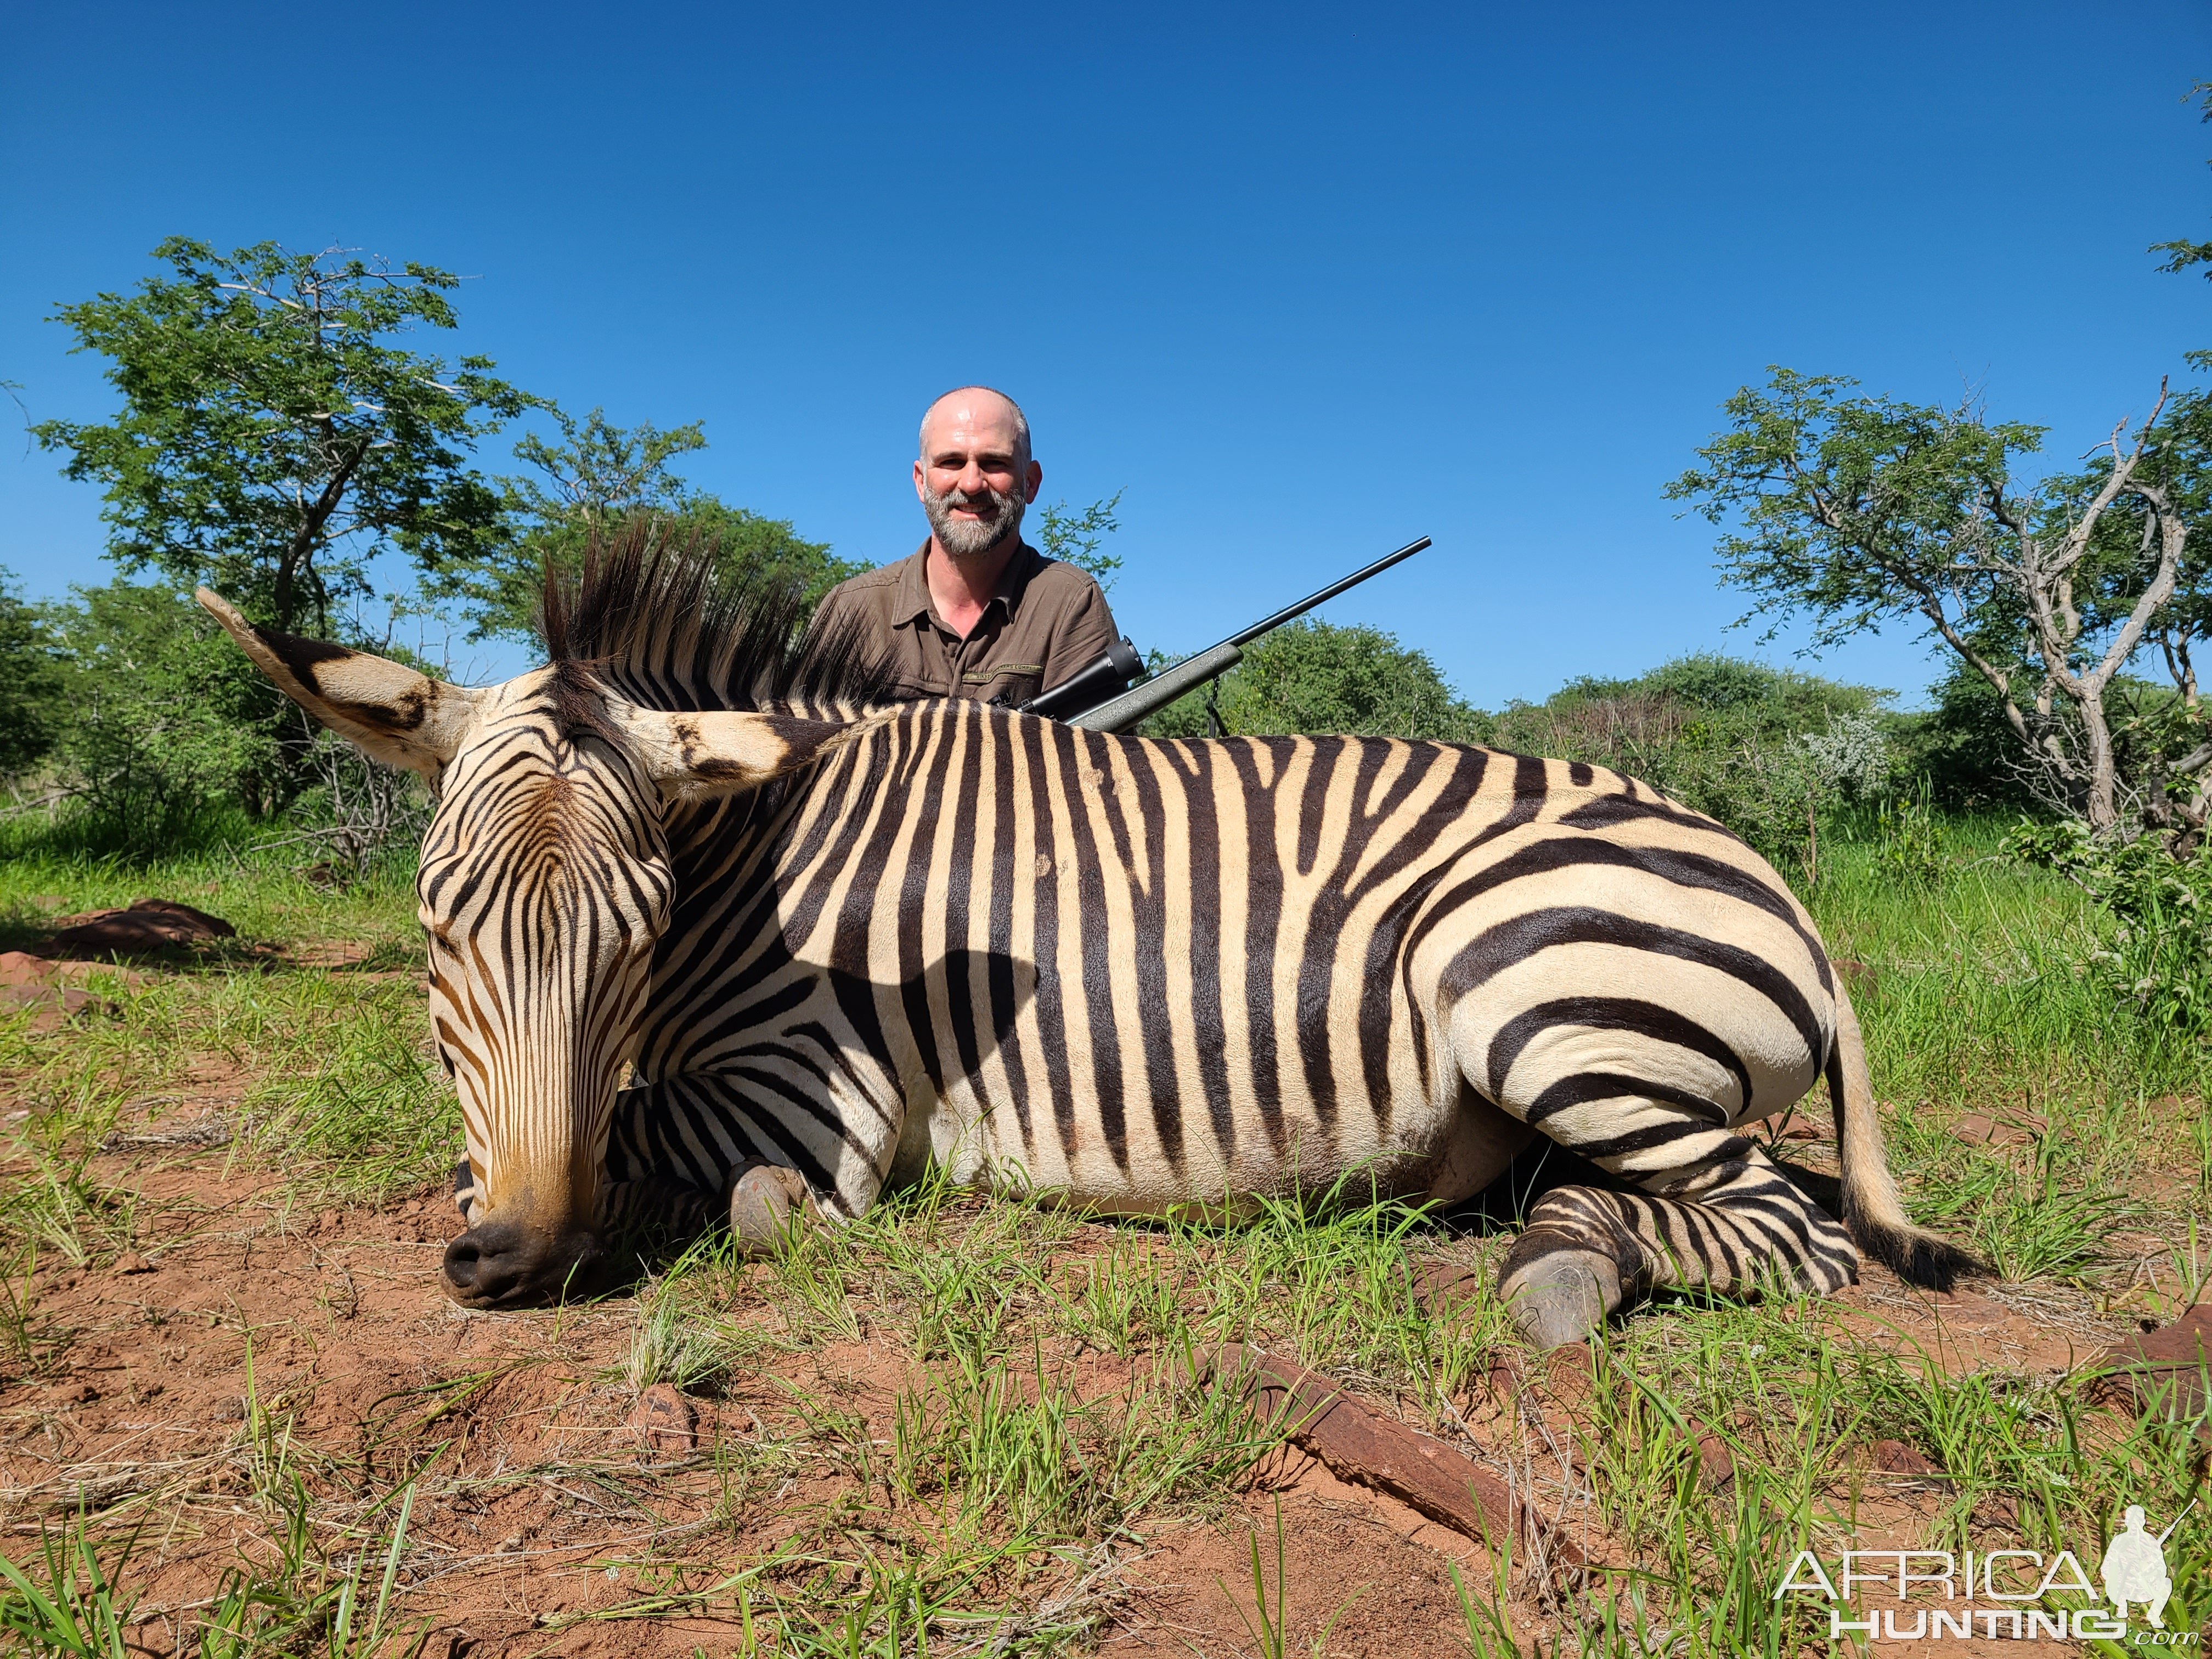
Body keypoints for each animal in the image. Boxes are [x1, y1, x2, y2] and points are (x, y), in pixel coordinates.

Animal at [199, 533, 1982, 1353]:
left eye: (638, 936)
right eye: (436, 925)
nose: (519, 1262)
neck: (760, 859)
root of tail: (1784, 895)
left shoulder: (810, 1097)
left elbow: (706, 1165)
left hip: (1532, 991)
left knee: (1789, 1231)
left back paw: (1568, 1270)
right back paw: (1536, 1230)